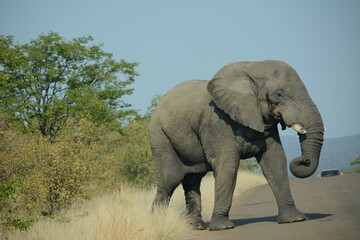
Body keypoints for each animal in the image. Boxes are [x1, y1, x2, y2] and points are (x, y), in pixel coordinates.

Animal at [149, 60, 324, 231]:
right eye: (279, 94)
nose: (304, 160)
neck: (252, 67)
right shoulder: (218, 122)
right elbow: (228, 165)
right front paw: (222, 227)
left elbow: (275, 161)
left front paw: (295, 219)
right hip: (160, 137)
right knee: (170, 179)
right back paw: (157, 222)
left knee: (192, 180)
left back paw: (196, 226)